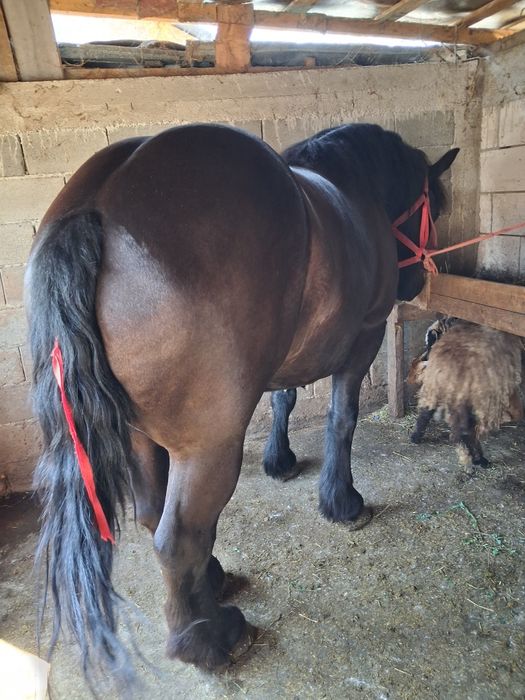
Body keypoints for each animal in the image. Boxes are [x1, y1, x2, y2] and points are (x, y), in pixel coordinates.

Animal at [25, 122, 458, 688]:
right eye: (435, 205)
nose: (419, 280)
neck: (351, 187)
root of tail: (95, 204)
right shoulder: (362, 340)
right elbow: (342, 421)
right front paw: (341, 502)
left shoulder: (284, 358)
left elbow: (284, 401)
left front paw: (280, 461)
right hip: (209, 446)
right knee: (177, 538)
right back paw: (211, 639)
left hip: (140, 433)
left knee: (152, 512)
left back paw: (213, 582)